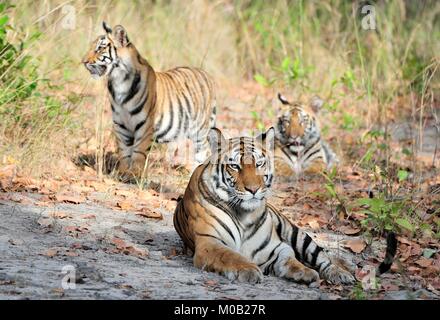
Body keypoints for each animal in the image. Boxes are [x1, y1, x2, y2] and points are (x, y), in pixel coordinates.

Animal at [81, 22, 216, 178]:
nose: (83, 62)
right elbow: (124, 152)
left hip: (200, 129)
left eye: (100, 48)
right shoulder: (121, 125)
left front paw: (133, 174)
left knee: (204, 150)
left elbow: (138, 152)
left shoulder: (145, 125)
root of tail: (207, 74)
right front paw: (122, 172)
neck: (118, 81)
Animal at [172, 126, 396, 284]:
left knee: (322, 255)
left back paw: (341, 272)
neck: (244, 215)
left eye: (259, 163)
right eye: (235, 166)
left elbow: (290, 258)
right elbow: (231, 256)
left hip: (296, 232)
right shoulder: (209, 243)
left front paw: (304, 272)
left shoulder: (276, 247)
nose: (253, 189)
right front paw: (249, 270)